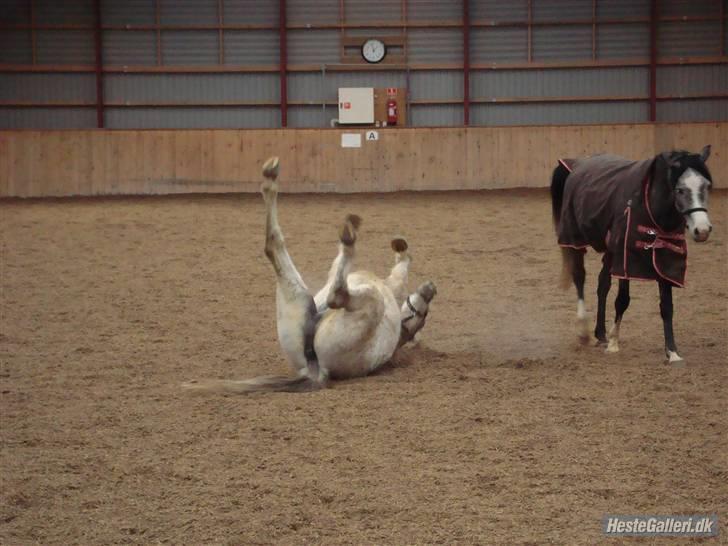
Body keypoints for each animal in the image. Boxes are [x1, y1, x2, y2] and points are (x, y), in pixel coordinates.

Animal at [552, 147, 712, 364]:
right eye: (680, 190)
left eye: (706, 186)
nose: (702, 230)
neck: (650, 207)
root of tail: (577, 164)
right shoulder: (626, 260)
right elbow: (622, 300)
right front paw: (613, 344)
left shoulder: (664, 259)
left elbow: (667, 307)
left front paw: (672, 352)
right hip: (575, 239)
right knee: (579, 277)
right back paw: (584, 331)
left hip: (610, 251)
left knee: (603, 284)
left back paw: (600, 333)